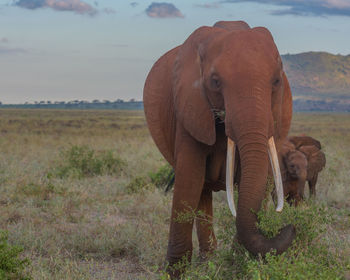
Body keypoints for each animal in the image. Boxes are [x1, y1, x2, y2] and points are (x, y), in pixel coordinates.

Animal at [143, 20, 296, 276]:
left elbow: (261, 178)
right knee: (201, 188)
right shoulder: (190, 107)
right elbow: (189, 178)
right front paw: (175, 272)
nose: (289, 227)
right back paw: (207, 261)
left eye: (276, 81)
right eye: (215, 82)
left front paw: (239, 262)